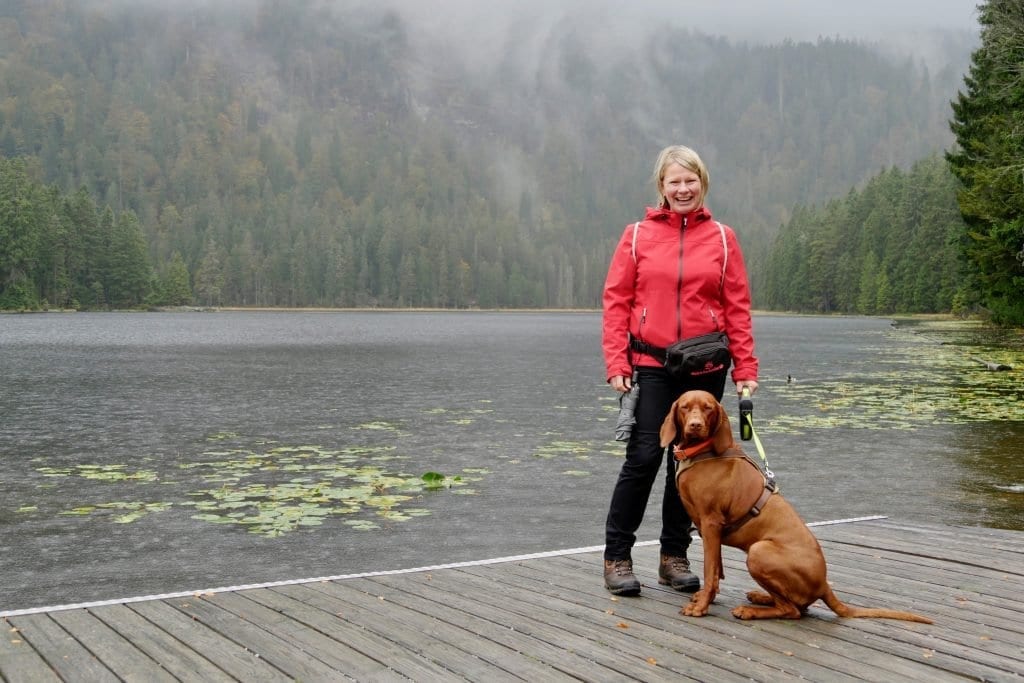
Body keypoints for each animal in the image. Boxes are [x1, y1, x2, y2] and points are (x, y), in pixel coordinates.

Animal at [659, 389, 933, 626]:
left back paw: (751, 610)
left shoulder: (711, 524)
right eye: (685, 407)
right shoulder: (709, 531)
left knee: (792, 610)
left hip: (759, 551)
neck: (702, 452)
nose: (695, 425)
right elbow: (716, 571)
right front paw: (707, 598)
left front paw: (701, 607)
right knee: (796, 605)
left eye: (708, 408)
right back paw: (761, 597)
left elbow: (710, 570)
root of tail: (824, 584)